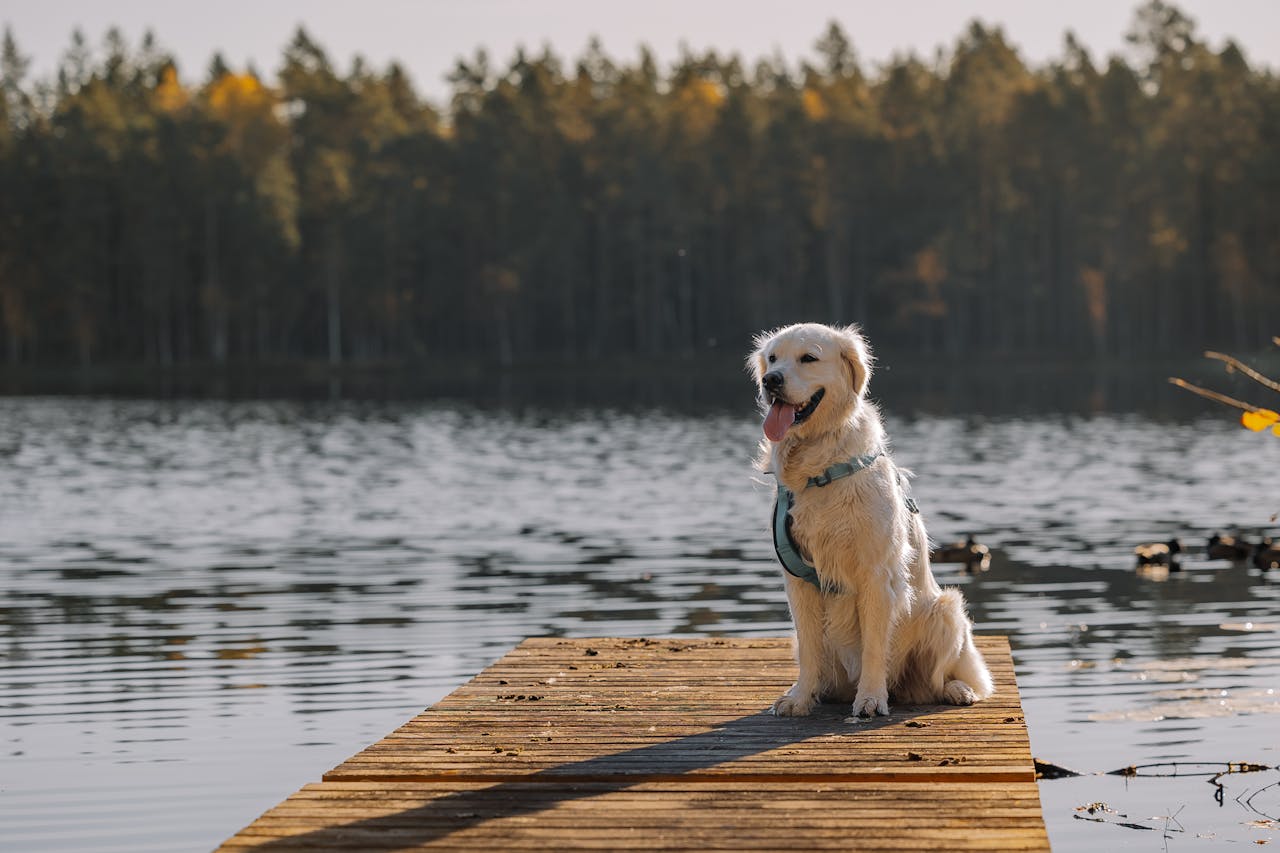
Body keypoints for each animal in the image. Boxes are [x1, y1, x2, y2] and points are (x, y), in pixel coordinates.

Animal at [747, 322, 988, 712]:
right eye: (772, 358)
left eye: (808, 358)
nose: (770, 380)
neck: (819, 467)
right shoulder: (797, 580)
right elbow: (810, 648)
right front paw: (799, 698)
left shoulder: (876, 574)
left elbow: (875, 646)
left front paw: (871, 699)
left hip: (947, 609)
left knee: (940, 682)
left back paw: (957, 690)